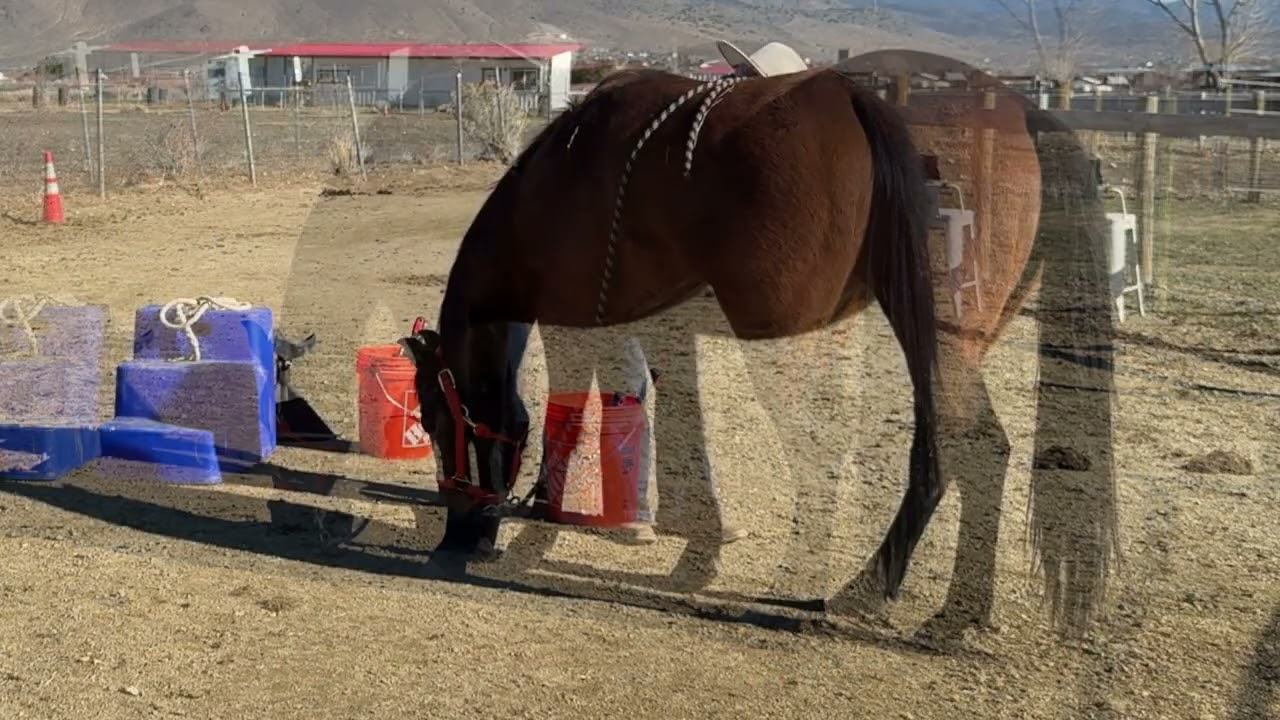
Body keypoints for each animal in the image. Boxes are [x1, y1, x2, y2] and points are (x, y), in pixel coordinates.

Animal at [398, 54, 1118, 638]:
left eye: (434, 419)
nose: (457, 534)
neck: (560, 176)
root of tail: (1027, 117)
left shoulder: (586, 322)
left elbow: (578, 411)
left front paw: (557, 504)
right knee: (975, 447)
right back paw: (948, 606)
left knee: (963, 443)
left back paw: (880, 592)